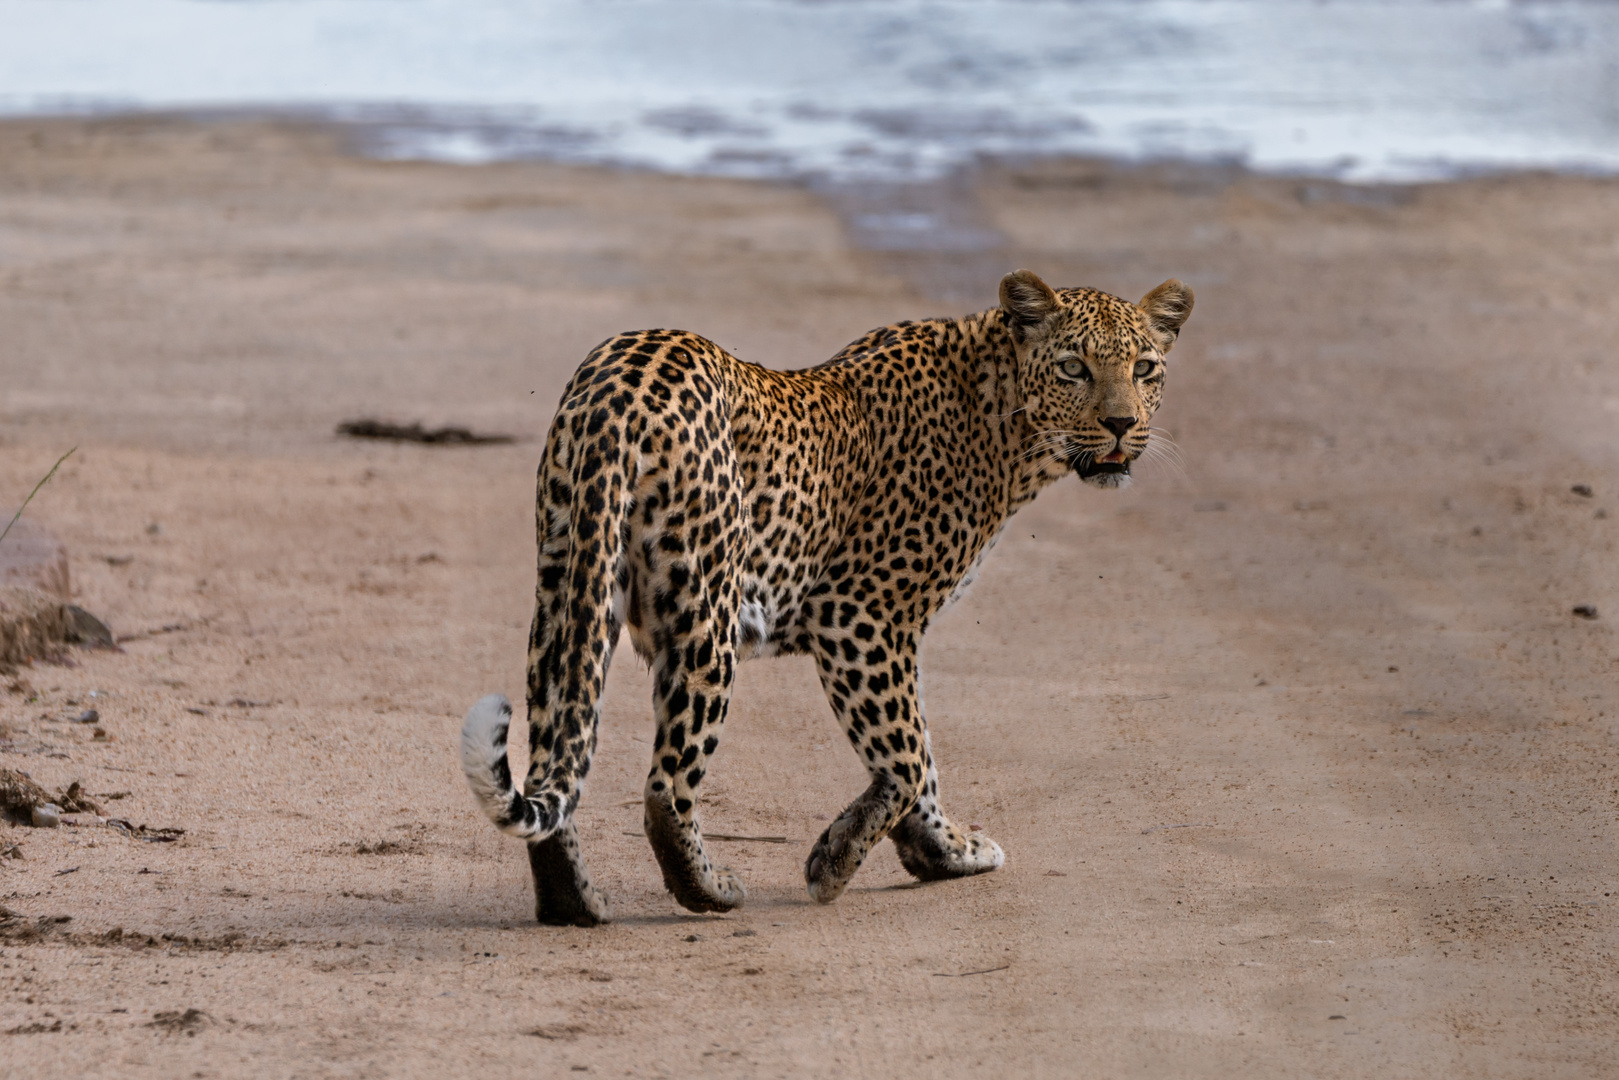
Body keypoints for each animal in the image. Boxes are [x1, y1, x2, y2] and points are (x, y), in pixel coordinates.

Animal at [456, 265, 1191, 926]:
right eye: (1073, 368)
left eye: (1145, 368)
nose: (1121, 424)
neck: (1004, 424)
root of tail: (618, 386)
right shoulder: (862, 616)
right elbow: (910, 754)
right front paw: (843, 861)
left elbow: (916, 760)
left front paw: (938, 852)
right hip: (705, 612)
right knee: (666, 787)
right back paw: (710, 890)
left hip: (569, 592)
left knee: (556, 753)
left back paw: (571, 903)